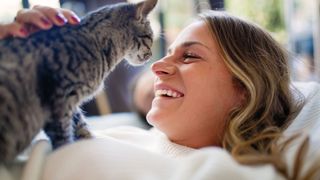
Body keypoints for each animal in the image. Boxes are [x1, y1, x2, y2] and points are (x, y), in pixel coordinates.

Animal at [0, 0, 156, 163]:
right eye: (150, 38)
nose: (151, 55)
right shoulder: (59, 99)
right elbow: (63, 135)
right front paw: (66, 151)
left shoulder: (70, 102)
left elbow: (80, 124)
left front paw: (88, 140)